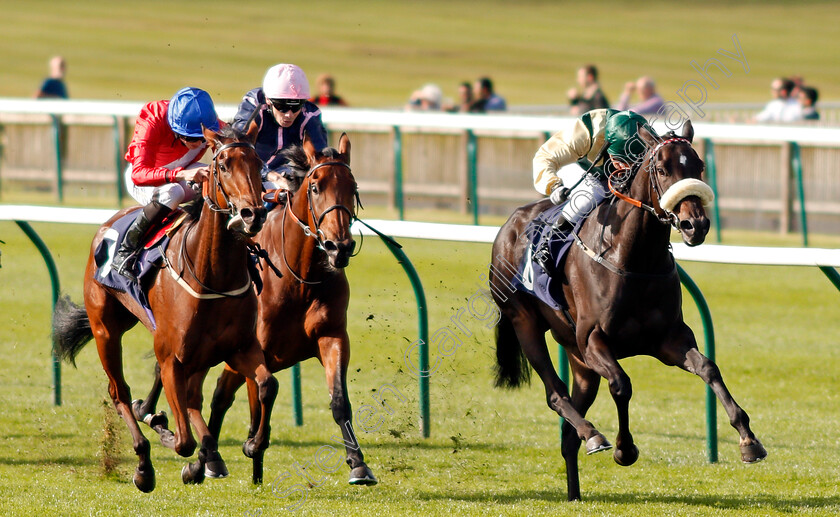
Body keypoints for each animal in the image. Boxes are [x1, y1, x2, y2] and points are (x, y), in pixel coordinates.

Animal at [50, 125, 278, 492]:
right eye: (223, 165)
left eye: (259, 164)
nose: (252, 214)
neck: (213, 276)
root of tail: (109, 223)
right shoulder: (173, 359)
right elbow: (183, 439)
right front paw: (164, 429)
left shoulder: (240, 348)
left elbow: (268, 384)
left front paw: (253, 443)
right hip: (106, 331)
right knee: (119, 393)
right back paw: (144, 462)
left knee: (191, 400)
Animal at [132, 132, 378, 484]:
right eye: (315, 187)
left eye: (352, 187)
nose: (338, 246)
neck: (299, 275)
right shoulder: (252, 347)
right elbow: (244, 399)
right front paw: (245, 449)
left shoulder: (331, 336)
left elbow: (339, 401)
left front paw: (358, 464)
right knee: (197, 390)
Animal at [492, 121, 768, 500]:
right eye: (663, 169)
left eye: (698, 167)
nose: (695, 225)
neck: (634, 257)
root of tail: (507, 226)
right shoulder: (594, 340)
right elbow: (622, 385)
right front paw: (625, 449)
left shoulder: (669, 339)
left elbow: (708, 368)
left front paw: (748, 441)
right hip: (526, 324)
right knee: (555, 395)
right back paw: (594, 435)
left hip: (579, 360)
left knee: (568, 432)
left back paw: (575, 490)